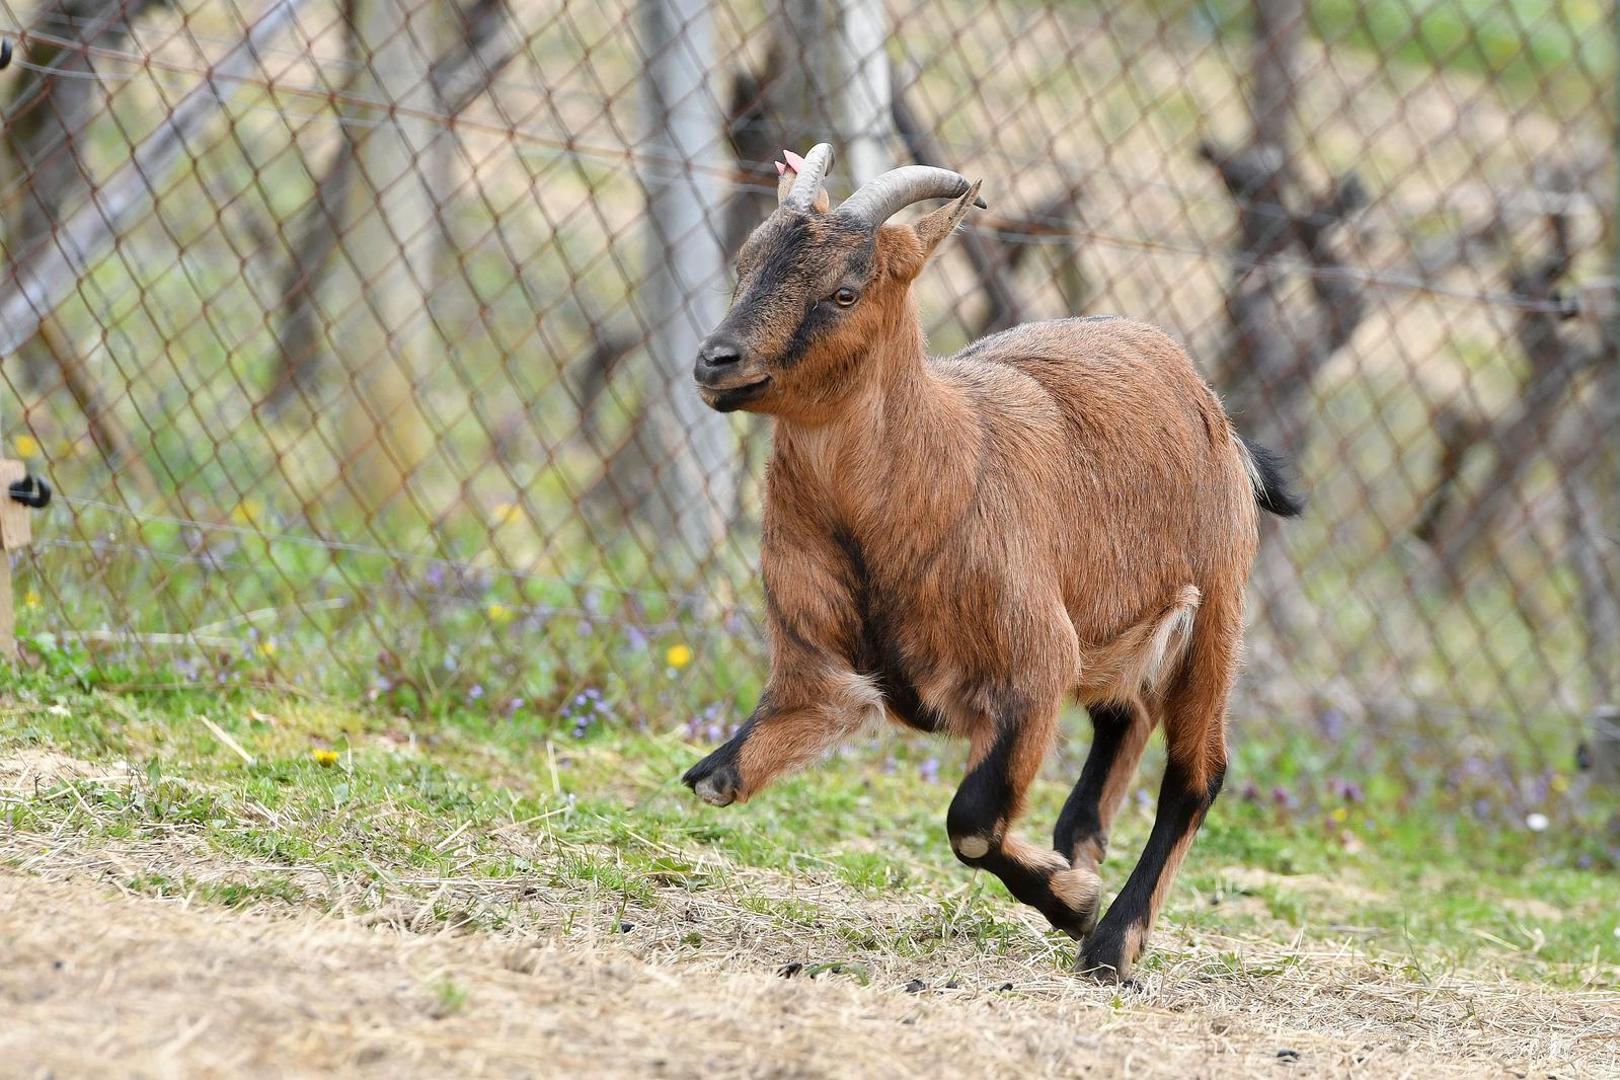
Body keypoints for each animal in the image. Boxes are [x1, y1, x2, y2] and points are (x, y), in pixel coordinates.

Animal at [680, 143, 1302, 977]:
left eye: (845, 290)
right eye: (746, 263)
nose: (717, 361)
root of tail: (1217, 414)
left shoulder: (1033, 667)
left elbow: (972, 821)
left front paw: (1075, 905)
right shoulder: (817, 676)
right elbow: (717, 779)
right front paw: (1071, 884)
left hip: (1217, 615)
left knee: (1197, 773)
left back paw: (1112, 944)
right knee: (1126, 716)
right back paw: (1082, 848)